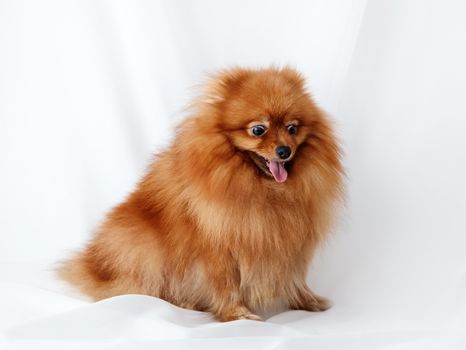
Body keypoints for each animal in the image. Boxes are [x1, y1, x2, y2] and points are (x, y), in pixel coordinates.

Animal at [58, 67, 344, 322]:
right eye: (258, 130)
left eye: (292, 128)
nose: (284, 151)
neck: (264, 190)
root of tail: (92, 266)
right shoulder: (216, 246)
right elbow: (225, 282)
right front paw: (236, 314)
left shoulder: (291, 242)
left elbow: (295, 276)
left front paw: (307, 301)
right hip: (139, 244)